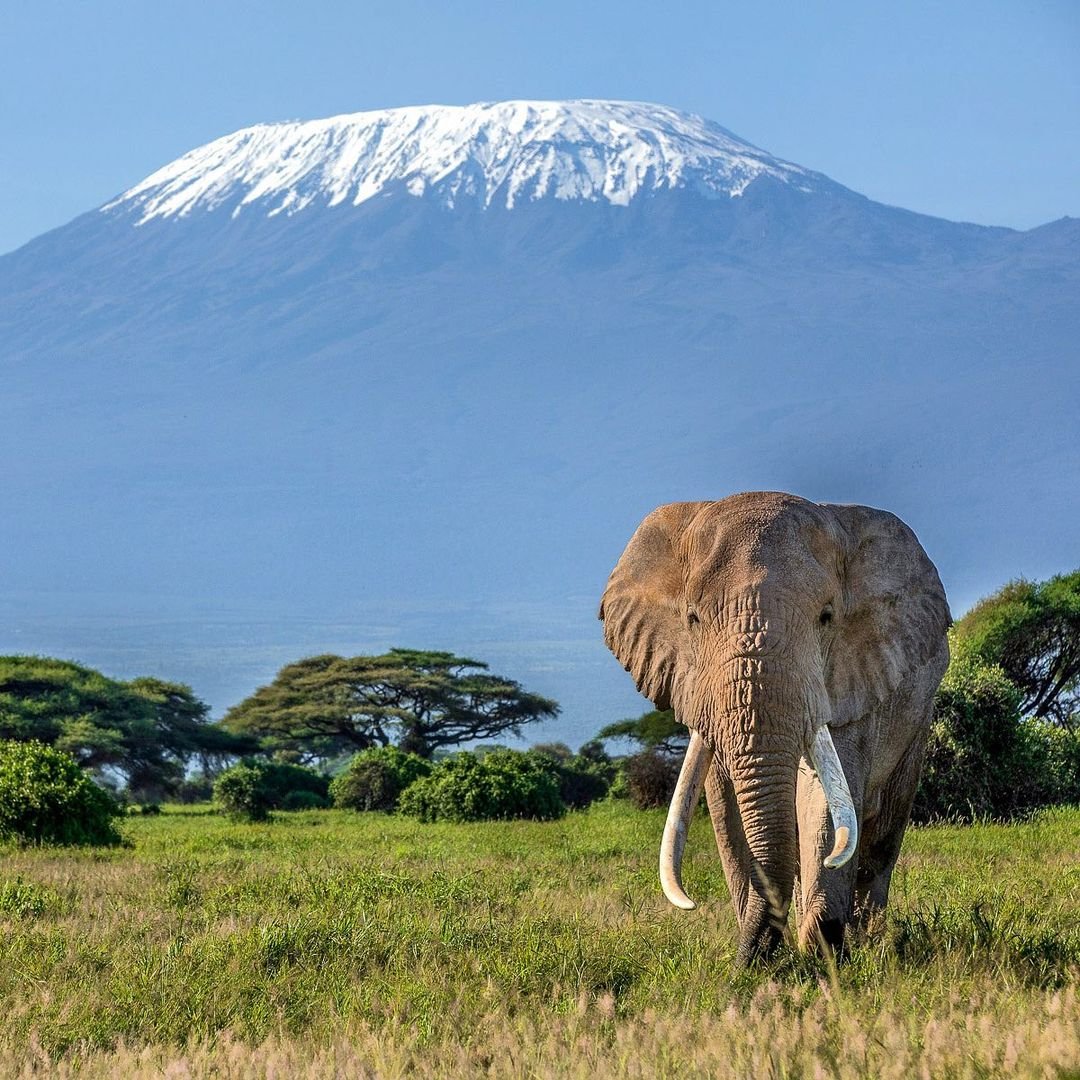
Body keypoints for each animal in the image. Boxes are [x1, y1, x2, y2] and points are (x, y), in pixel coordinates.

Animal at [604, 492, 950, 963]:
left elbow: (825, 801)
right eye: (692, 619)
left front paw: (822, 955)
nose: (747, 963)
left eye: (826, 617)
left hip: (918, 719)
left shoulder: (851, 676)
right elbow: (726, 809)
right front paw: (766, 957)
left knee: (881, 834)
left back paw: (868, 941)